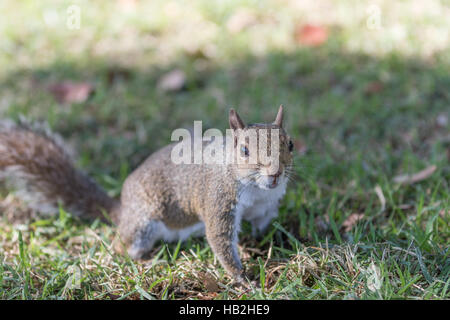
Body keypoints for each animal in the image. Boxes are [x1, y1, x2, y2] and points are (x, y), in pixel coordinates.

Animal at [0, 105, 294, 282]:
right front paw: (241, 278)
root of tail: (123, 210)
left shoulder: (265, 206)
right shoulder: (218, 200)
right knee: (122, 247)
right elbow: (220, 239)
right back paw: (146, 261)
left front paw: (272, 241)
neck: (256, 190)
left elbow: (261, 226)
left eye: (290, 144)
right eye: (244, 150)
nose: (275, 174)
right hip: (144, 224)